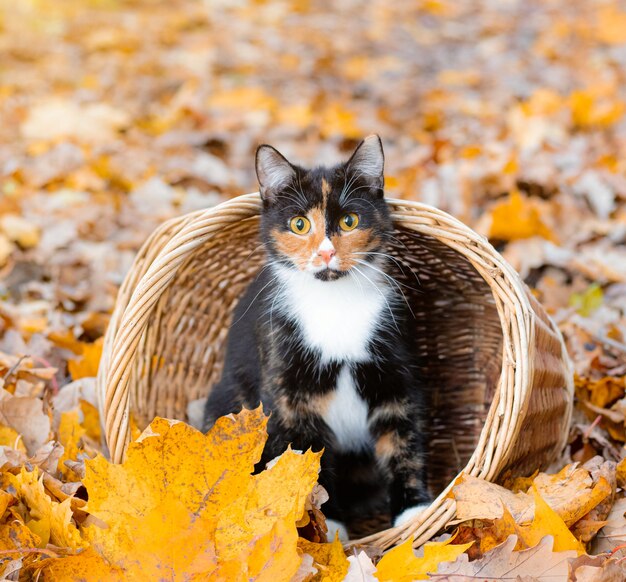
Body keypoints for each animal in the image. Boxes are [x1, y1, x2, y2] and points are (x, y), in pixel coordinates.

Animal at [204, 137, 428, 540]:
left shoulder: (395, 373)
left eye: (349, 220)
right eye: (299, 223)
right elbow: (307, 457)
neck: (334, 302)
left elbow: (403, 438)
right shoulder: (287, 393)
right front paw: (327, 528)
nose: (326, 252)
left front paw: (413, 511)